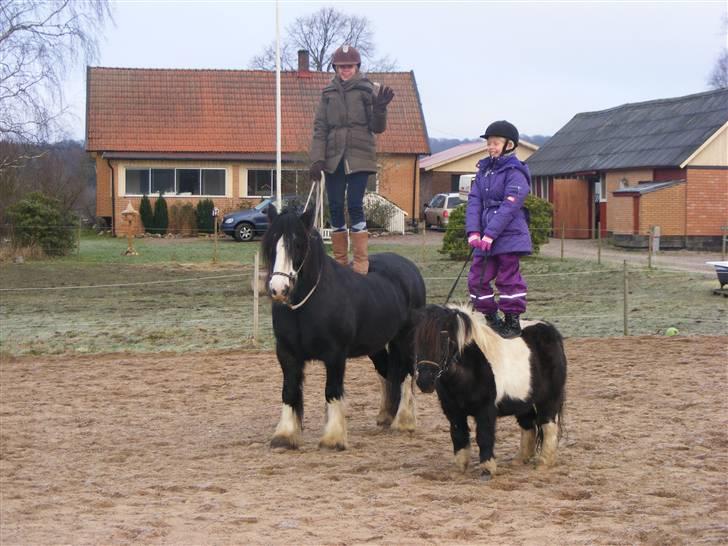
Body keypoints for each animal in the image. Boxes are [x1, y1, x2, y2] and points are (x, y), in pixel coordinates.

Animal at [262, 206, 426, 448]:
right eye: (271, 243)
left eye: (298, 244)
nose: (279, 289)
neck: (307, 305)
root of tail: (409, 268)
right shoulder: (286, 353)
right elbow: (289, 391)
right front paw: (285, 435)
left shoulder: (335, 355)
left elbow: (332, 391)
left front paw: (333, 438)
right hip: (376, 345)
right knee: (387, 372)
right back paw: (386, 415)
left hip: (405, 338)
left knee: (405, 374)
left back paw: (404, 422)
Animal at [412, 304, 564, 478]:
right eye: (417, 340)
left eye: (443, 339)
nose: (424, 381)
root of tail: (550, 330)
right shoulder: (453, 411)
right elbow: (458, 434)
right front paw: (460, 468)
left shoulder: (486, 409)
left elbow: (484, 436)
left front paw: (487, 469)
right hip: (523, 402)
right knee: (528, 426)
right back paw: (520, 459)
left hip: (550, 398)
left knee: (548, 425)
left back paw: (544, 463)